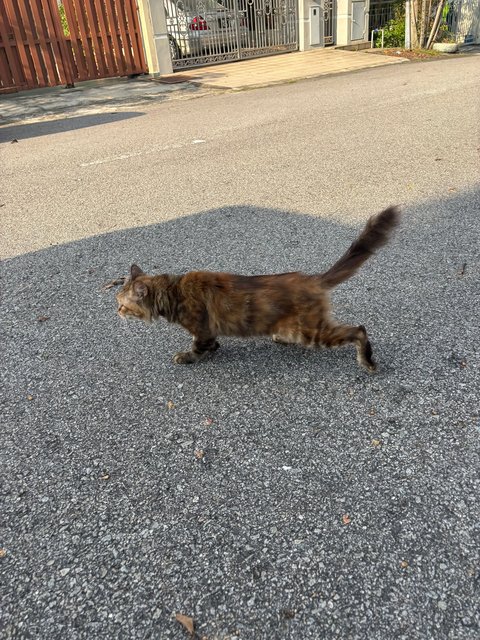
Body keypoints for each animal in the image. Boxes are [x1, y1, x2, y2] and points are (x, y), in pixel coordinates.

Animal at [115, 208, 398, 370]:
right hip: (297, 328)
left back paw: (367, 362)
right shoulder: (209, 329)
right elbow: (211, 343)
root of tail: (313, 278)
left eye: (121, 303)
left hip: (314, 331)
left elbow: (198, 347)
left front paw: (188, 357)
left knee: (358, 330)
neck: (174, 291)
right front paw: (213, 350)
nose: (116, 312)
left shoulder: (202, 327)